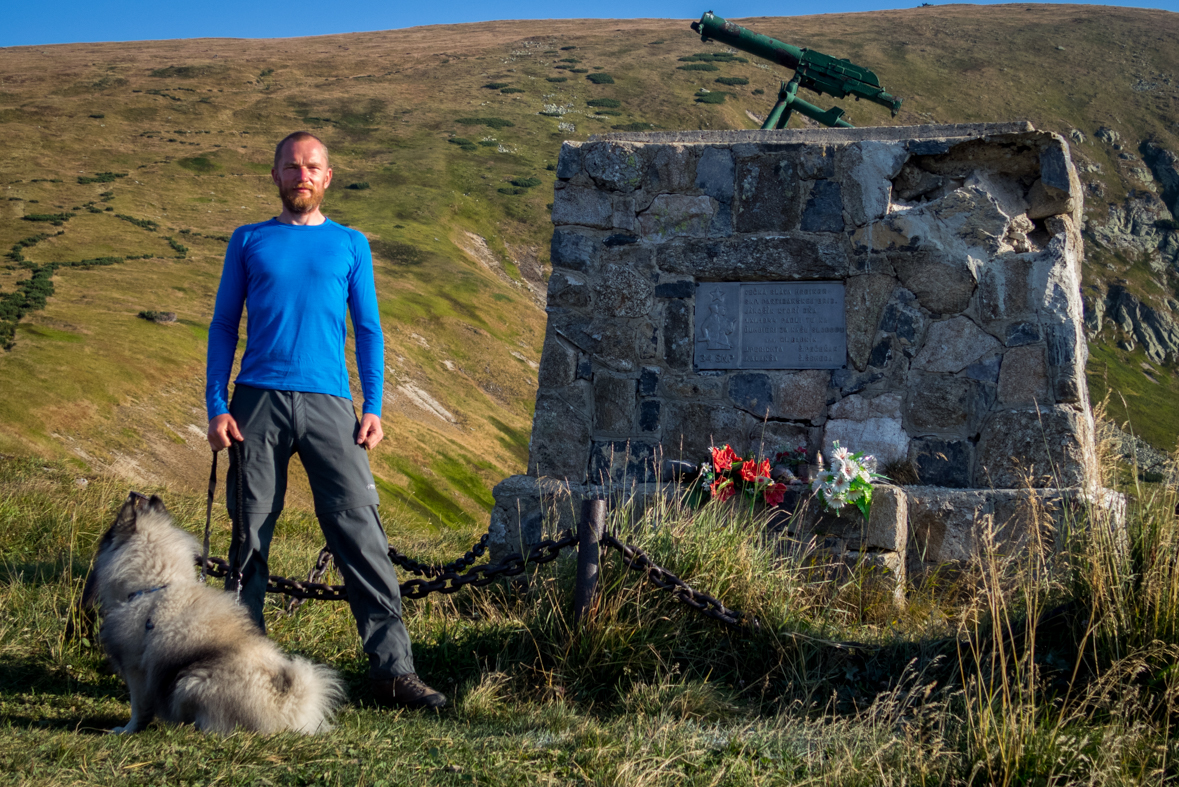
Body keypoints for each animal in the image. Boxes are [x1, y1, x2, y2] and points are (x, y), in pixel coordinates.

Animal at [86, 494, 344, 735]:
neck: (156, 584)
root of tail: (285, 705)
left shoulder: (137, 671)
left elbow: (139, 709)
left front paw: (126, 730)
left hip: (190, 681)